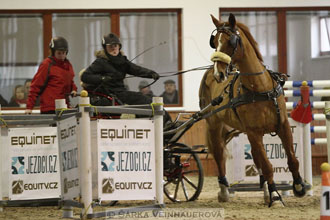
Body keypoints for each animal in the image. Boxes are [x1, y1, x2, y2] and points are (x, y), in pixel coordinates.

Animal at [199, 13, 306, 206]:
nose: (219, 74)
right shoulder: (254, 132)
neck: (260, 88)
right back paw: (225, 191)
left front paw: (298, 186)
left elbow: (292, 159)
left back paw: (265, 190)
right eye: (214, 41)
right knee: (219, 154)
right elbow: (267, 165)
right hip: (214, 125)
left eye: (231, 41)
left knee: (256, 159)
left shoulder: (282, 125)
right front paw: (275, 196)